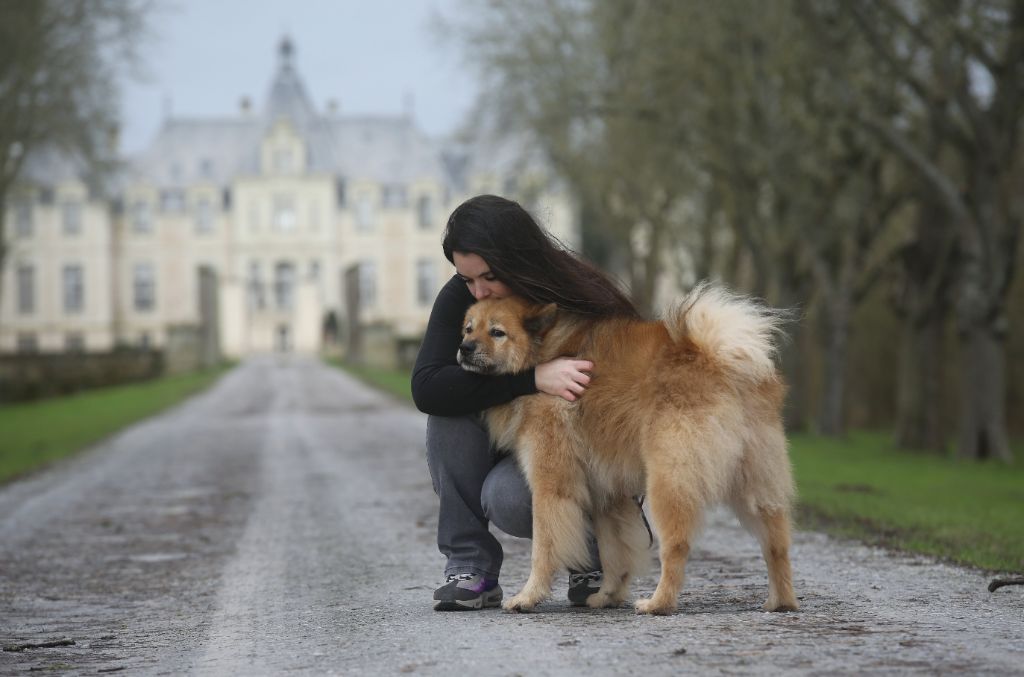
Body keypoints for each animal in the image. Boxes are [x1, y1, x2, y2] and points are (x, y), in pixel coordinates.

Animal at [458, 282, 798, 614]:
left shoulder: (550, 485)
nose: (464, 348)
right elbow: (615, 553)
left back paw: (659, 603)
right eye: (468, 329)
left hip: (668, 482)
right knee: (776, 545)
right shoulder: (609, 495)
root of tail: (717, 359)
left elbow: (544, 547)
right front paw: (608, 595)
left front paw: (528, 597)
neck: (539, 355)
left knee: (677, 546)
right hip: (756, 485)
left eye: (497, 332)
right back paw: (780, 601)